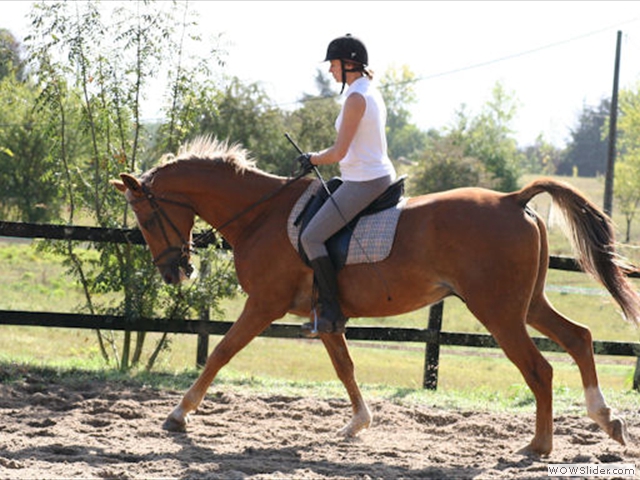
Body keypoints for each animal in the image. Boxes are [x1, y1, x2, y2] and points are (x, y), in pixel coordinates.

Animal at [112, 137, 636, 456]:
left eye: (147, 217)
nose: (175, 272)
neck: (261, 216)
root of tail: (513, 199)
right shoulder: (324, 314)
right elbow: (344, 366)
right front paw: (358, 423)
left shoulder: (263, 304)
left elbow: (220, 351)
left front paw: (178, 415)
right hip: (527, 305)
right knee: (579, 337)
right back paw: (605, 419)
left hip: (499, 312)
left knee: (540, 368)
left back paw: (539, 446)